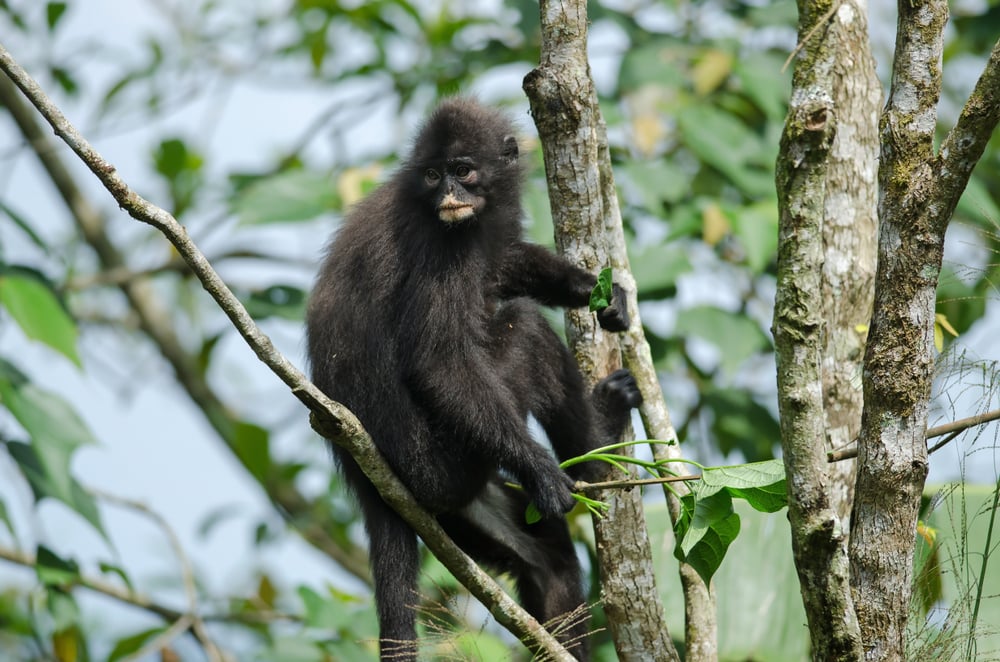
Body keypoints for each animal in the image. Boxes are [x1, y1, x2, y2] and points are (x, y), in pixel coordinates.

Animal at [306, 97, 642, 661]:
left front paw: (592, 290)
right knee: (525, 326)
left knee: (549, 558)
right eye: (433, 174)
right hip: (445, 465)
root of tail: (361, 470)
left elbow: (504, 262)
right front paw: (546, 471)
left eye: (462, 171)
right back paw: (599, 452)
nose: (449, 195)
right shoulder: (441, 244)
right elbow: (440, 364)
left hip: (456, 503)